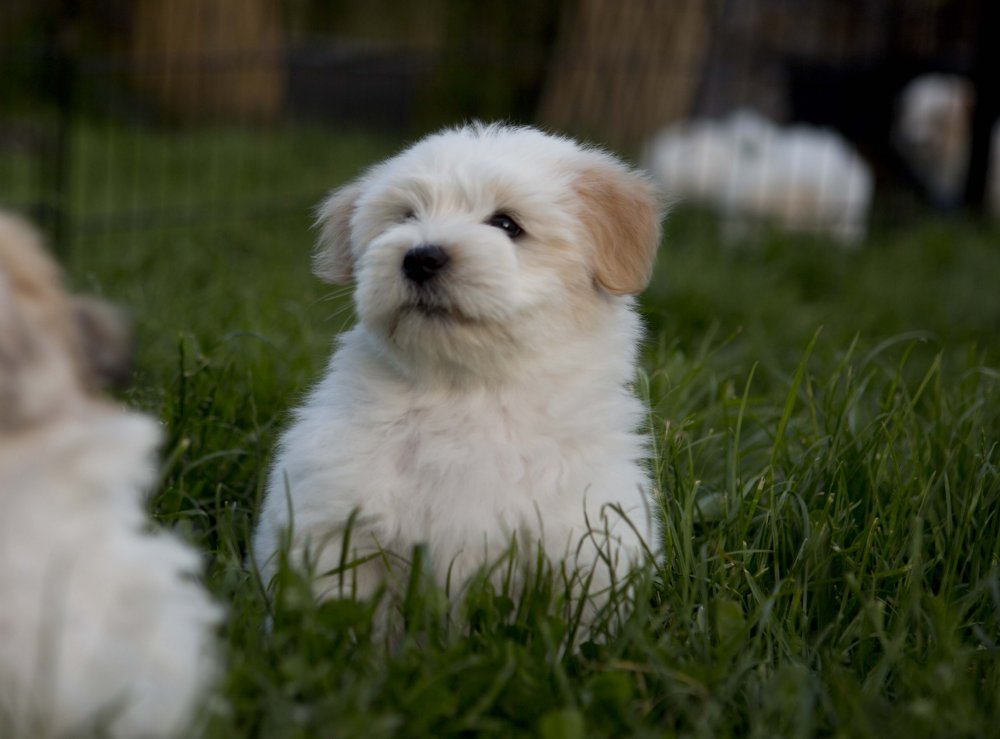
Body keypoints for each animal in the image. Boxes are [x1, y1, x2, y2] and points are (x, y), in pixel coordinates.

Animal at [254, 123, 664, 620]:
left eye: (507, 224)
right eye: (405, 217)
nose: (420, 258)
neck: (467, 393)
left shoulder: (587, 544)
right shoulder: (337, 525)